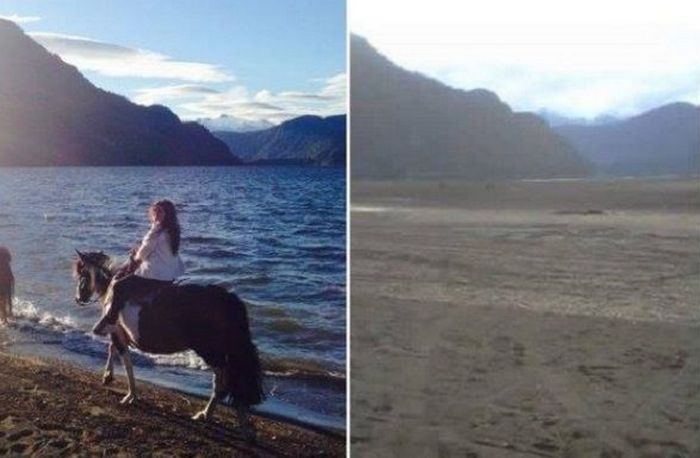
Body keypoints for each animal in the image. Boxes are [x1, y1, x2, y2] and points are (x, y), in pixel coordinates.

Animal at [73, 250, 266, 436]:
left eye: (83, 274)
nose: (78, 298)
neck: (111, 292)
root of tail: (227, 299)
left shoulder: (116, 332)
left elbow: (125, 362)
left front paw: (129, 395)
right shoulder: (120, 335)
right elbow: (113, 350)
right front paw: (108, 377)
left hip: (210, 350)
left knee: (224, 380)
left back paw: (213, 415)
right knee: (234, 378)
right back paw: (234, 421)